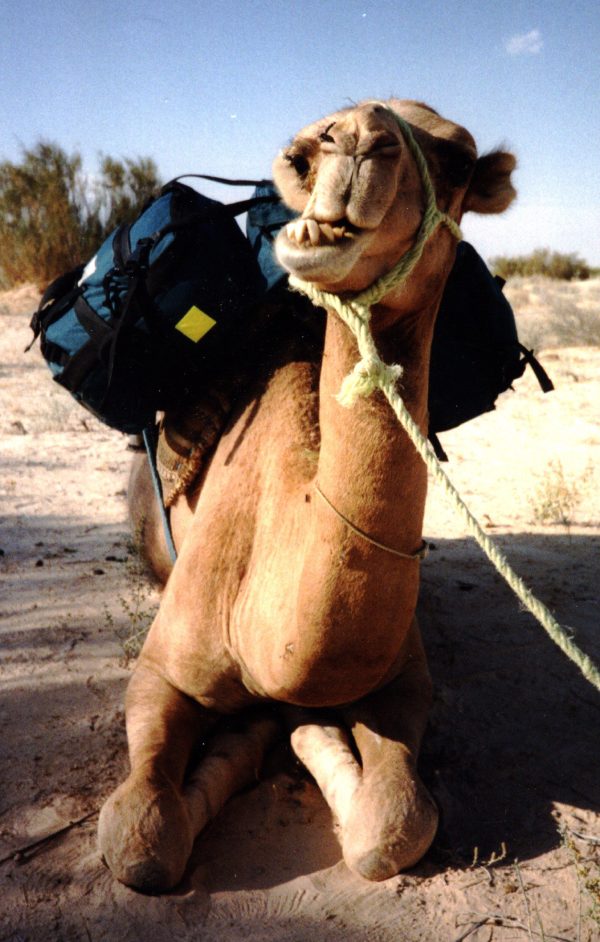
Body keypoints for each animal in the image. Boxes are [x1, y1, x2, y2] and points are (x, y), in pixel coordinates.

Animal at [98, 98, 516, 892]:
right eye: (302, 154)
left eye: (457, 160)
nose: (352, 137)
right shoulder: (160, 667)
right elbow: (142, 841)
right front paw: (251, 736)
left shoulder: (405, 678)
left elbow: (395, 825)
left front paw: (303, 730)